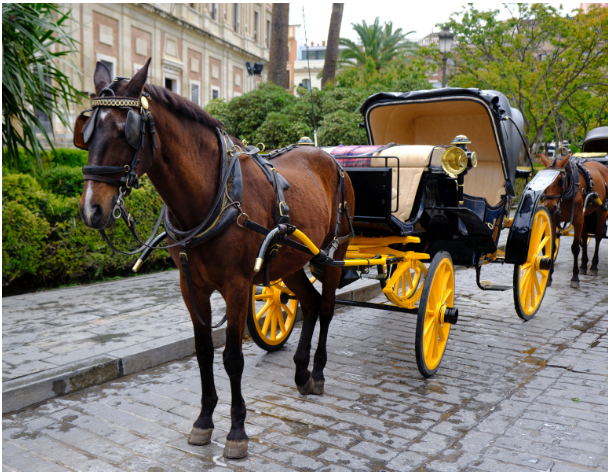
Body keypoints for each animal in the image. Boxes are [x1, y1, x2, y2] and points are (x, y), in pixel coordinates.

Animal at [540, 153, 604, 290]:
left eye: (560, 180)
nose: (550, 207)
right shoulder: (553, 219)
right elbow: (552, 246)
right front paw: (549, 277)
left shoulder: (578, 219)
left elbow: (575, 248)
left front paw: (575, 278)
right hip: (586, 215)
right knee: (584, 237)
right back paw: (584, 265)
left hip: (601, 212)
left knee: (598, 237)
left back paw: (594, 266)